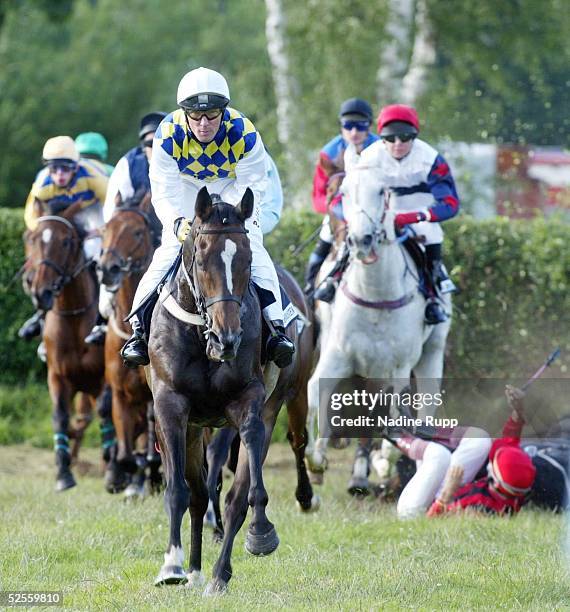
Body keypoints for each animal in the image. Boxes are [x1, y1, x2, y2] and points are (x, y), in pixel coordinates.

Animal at [25, 201, 122, 492]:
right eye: (33, 239)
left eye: (66, 241)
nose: (41, 291)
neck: (74, 316)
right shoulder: (57, 375)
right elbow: (60, 417)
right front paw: (63, 473)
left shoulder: (105, 377)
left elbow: (105, 413)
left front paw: (113, 469)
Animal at [146, 189, 316, 596]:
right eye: (201, 256)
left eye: (247, 259)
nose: (228, 338)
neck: (201, 334)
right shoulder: (170, 407)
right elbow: (178, 490)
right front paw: (172, 565)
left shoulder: (248, 400)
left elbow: (241, 490)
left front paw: (260, 530)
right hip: (194, 427)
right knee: (195, 493)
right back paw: (193, 570)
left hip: (291, 393)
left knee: (294, 442)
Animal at [304, 164, 450, 492]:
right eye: (343, 193)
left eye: (382, 190)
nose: (361, 240)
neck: (375, 296)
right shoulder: (338, 354)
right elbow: (315, 390)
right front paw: (316, 460)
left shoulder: (398, 365)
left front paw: (383, 460)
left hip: (431, 351)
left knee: (422, 401)